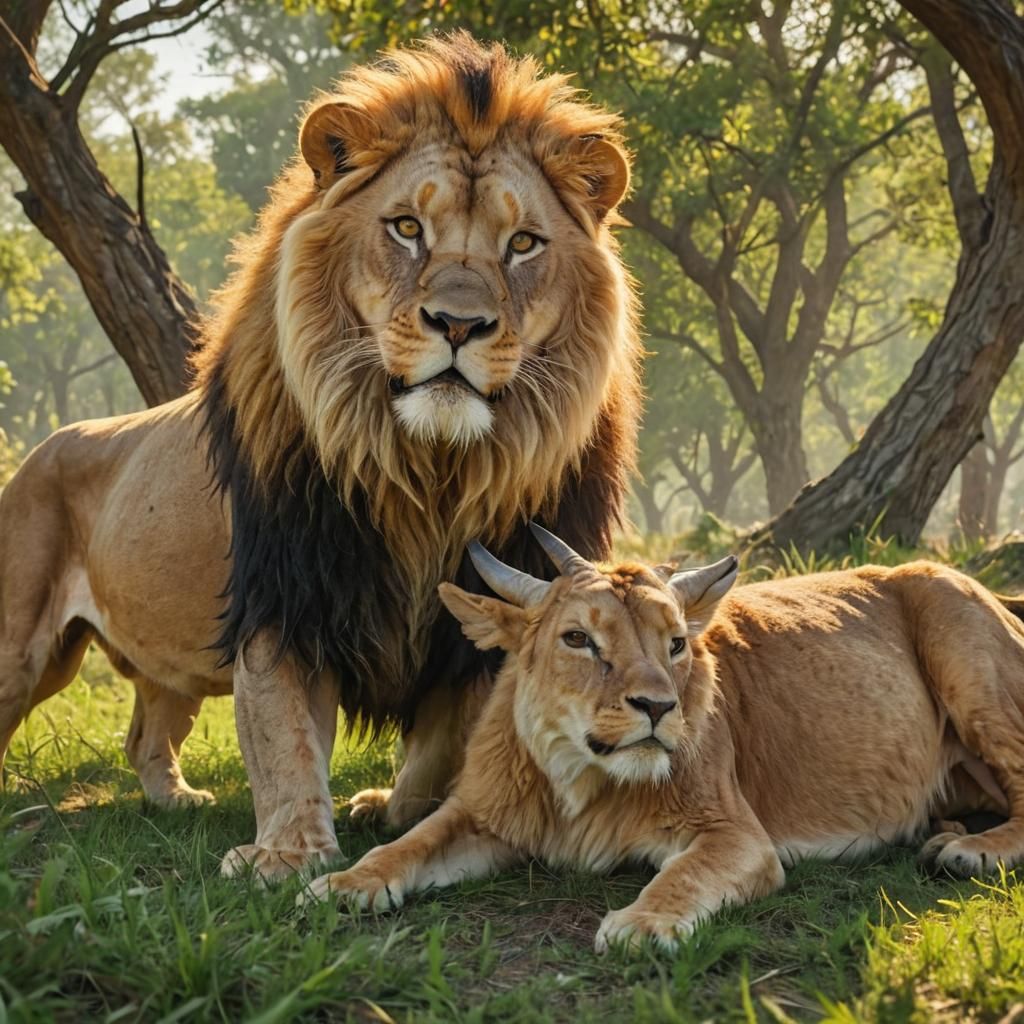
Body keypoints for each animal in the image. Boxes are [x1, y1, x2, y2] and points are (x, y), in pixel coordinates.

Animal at [0, 35, 641, 878]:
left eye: (524, 244)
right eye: (406, 228)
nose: (459, 324)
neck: (429, 471)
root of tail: (47, 443)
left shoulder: (493, 609)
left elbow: (451, 739)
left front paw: (402, 810)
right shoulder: (285, 595)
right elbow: (284, 733)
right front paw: (287, 853)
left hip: (167, 664)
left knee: (147, 731)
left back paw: (175, 800)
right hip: (21, 645)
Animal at [303, 526, 1024, 952]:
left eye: (675, 644)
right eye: (578, 638)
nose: (657, 706)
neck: (583, 783)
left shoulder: (739, 835)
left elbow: (684, 876)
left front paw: (642, 924)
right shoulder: (484, 812)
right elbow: (409, 844)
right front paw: (342, 883)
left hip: (963, 652)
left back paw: (967, 849)